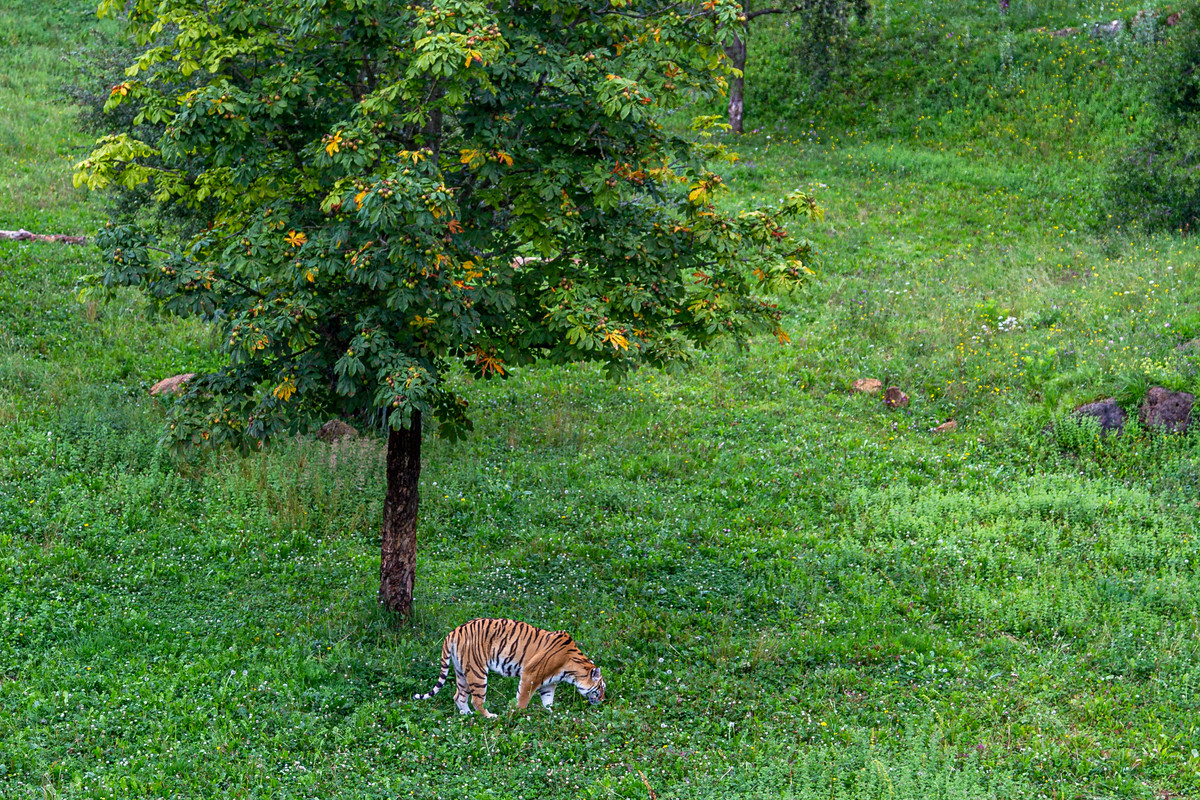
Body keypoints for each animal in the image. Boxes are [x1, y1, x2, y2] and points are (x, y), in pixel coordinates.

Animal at [412, 618, 604, 719]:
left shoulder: (549, 684)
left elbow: (548, 701)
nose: (602, 701)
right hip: (477, 671)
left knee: (459, 696)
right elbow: (523, 699)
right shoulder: (530, 675)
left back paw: (468, 715)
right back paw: (489, 716)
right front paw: (519, 715)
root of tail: (454, 631)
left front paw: (551, 714)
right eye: (601, 688)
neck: (570, 670)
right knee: (476, 700)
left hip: (461, 672)